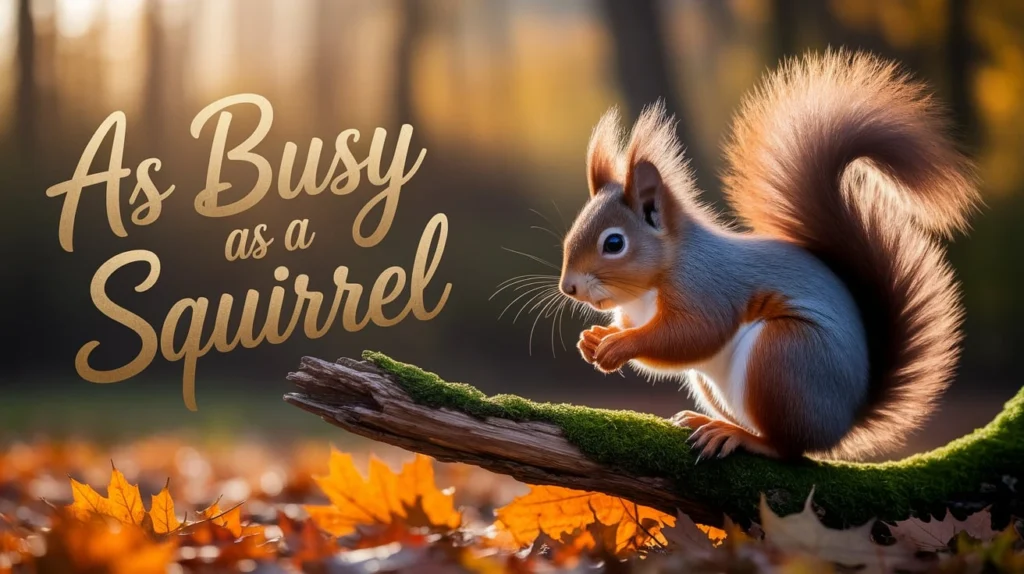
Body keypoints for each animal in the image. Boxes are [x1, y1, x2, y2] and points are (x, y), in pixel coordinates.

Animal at [558, 50, 981, 461]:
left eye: (614, 243)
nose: (569, 288)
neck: (651, 285)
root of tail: (843, 422)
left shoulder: (705, 288)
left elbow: (691, 336)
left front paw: (619, 346)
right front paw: (595, 339)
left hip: (783, 358)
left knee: (789, 447)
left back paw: (737, 436)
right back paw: (709, 421)